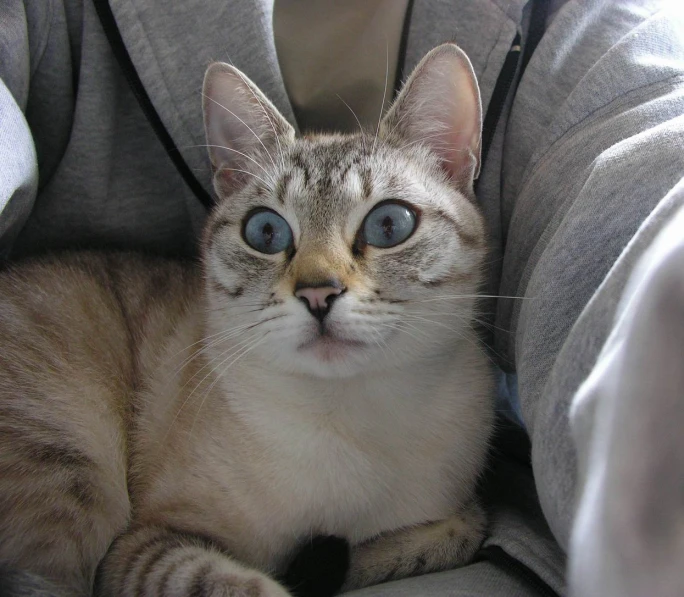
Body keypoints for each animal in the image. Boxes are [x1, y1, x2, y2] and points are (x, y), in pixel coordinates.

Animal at [0, 43, 492, 596]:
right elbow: (250, 584)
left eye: (389, 225)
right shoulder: (143, 544)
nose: (318, 292)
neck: (347, 418)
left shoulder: (458, 509)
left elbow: (449, 534)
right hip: (71, 467)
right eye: (265, 232)